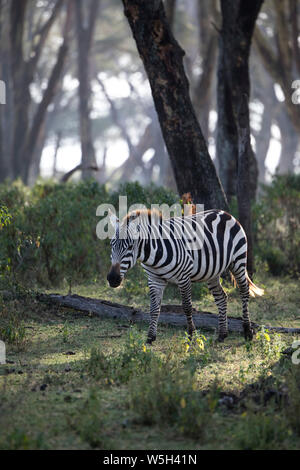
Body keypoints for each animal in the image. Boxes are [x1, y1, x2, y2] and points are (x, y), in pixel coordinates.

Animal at [106, 208, 264, 342]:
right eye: (112, 245)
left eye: (130, 246)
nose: (112, 279)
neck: (153, 256)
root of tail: (224, 213)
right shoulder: (154, 279)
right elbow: (154, 309)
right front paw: (150, 337)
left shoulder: (183, 277)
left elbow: (187, 307)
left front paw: (191, 335)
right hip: (212, 272)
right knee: (221, 297)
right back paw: (222, 335)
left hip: (238, 261)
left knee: (244, 292)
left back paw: (248, 332)